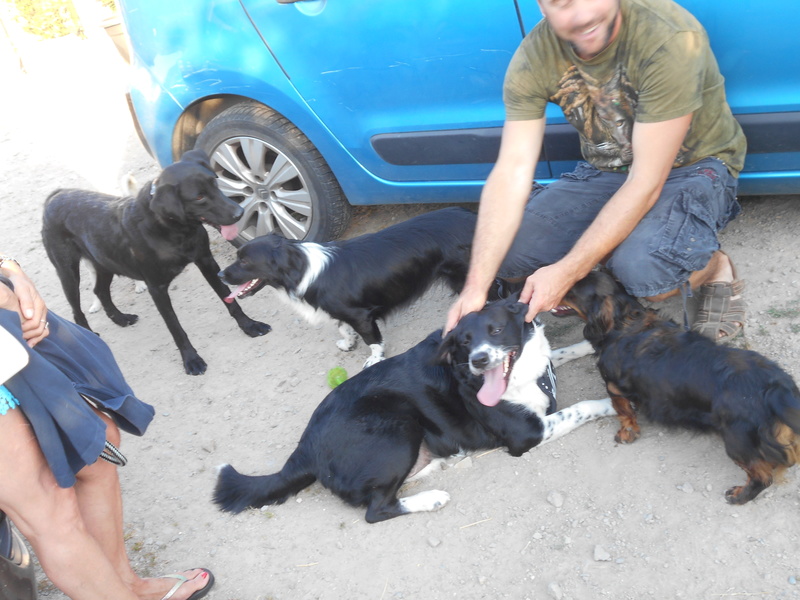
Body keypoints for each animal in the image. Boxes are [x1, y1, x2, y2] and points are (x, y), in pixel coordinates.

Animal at [211, 298, 612, 524]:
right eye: (463, 343)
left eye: (496, 330)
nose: (480, 361)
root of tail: (304, 447)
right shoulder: (527, 432)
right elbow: (580, 407)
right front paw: (610, 404)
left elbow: (559, 353)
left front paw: (588, 346)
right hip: (397, 424)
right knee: (376, 510)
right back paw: (431, 497)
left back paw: (437, 464)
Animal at [219, 206, 478, 366]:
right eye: (237, 256)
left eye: (244, 261)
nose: (220, 274)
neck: (302, 269)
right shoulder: (340, 311)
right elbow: (344, 328)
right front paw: (348, 343)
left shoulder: (362, 315)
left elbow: (373, 340)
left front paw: (375, 359)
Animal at [556, 270, 800, 504]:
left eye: (572, 288)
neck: (625, 322)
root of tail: (775, 389)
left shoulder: (614, 388)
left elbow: (624, 412)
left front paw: (626, 433)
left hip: (738, 441)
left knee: (762, 476)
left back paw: (739, 496)